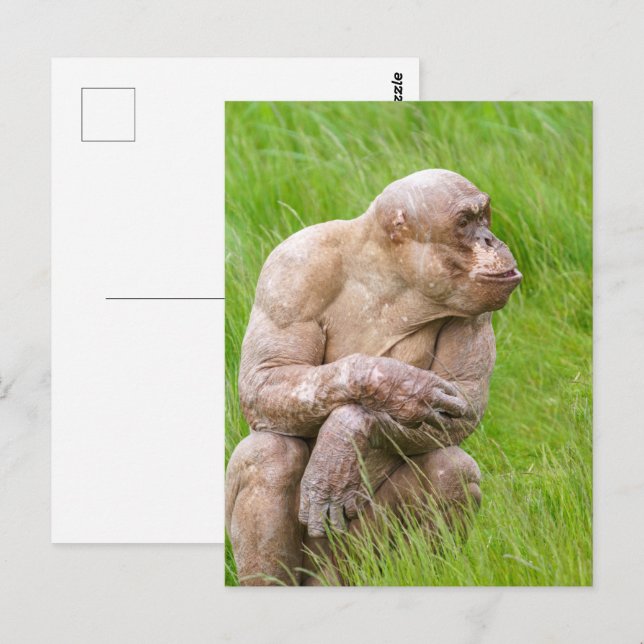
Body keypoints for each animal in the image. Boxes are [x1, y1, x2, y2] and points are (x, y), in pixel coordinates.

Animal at [225, 169, 522, 585]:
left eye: (484, 216)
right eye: (465, 222)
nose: (489, 239)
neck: (390, 275)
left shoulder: (478, 309)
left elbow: (463, 404)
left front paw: (346, 434)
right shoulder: (292, 271)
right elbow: (267, 375)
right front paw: (399, 386)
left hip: (355, 560)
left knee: (452, 472)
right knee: (268, 455)